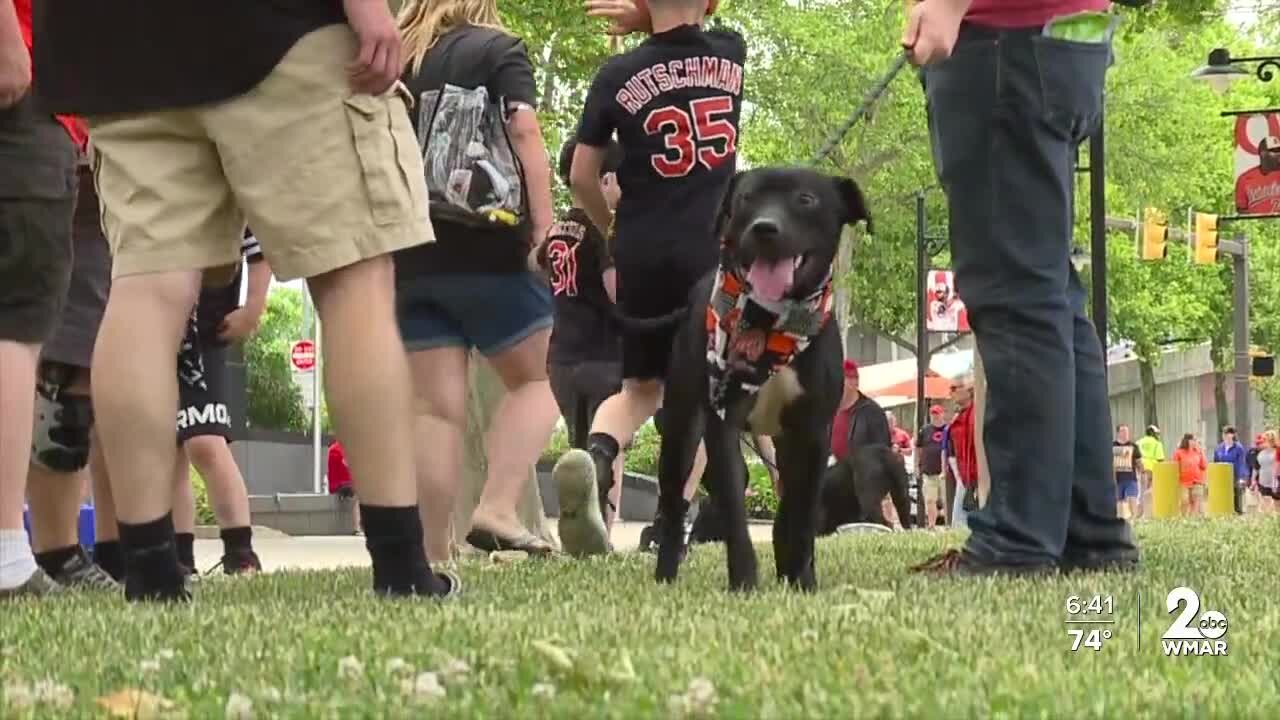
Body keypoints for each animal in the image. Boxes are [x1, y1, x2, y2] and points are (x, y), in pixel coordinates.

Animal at [650, 166, 870, 589]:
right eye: (746, 198)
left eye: (806, 199)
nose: (765, 227)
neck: (773, 323)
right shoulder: (723, 423)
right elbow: (735, 510)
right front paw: (745, 582)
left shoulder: (812, 431)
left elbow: (799, 511)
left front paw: (800, 577)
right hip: (681, 428)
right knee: (673, 499)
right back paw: (665, 573)